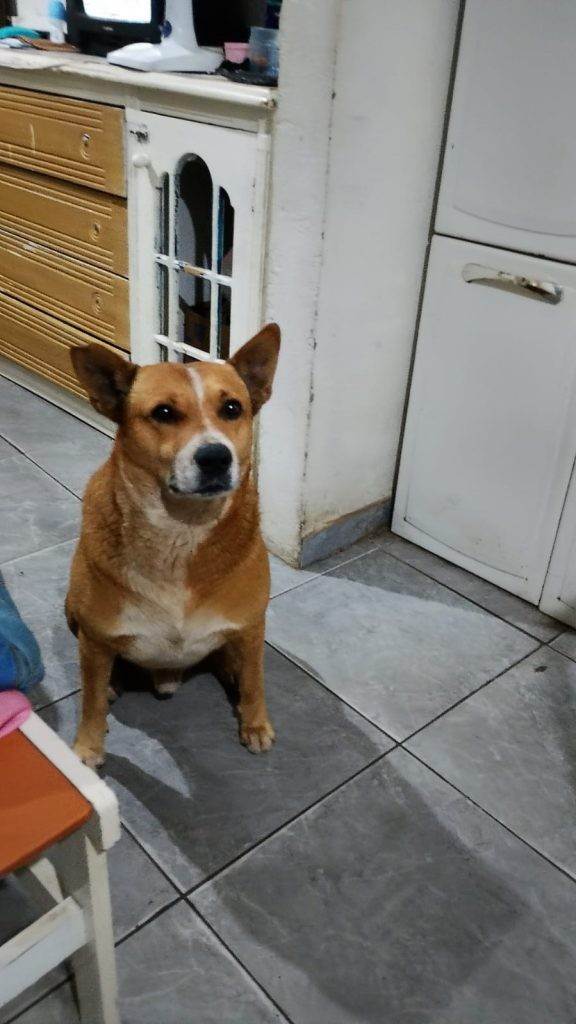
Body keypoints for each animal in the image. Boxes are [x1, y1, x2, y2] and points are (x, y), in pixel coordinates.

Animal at [65, 324, 280, 768]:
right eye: (164, 413)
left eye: (232, 408)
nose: (216, 458)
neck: (182, 531)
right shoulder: (95, 638)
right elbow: (91, 701)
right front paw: (88, 747)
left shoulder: (252, 627)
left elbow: (255, 681)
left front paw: (254, 723)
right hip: (75, 613)